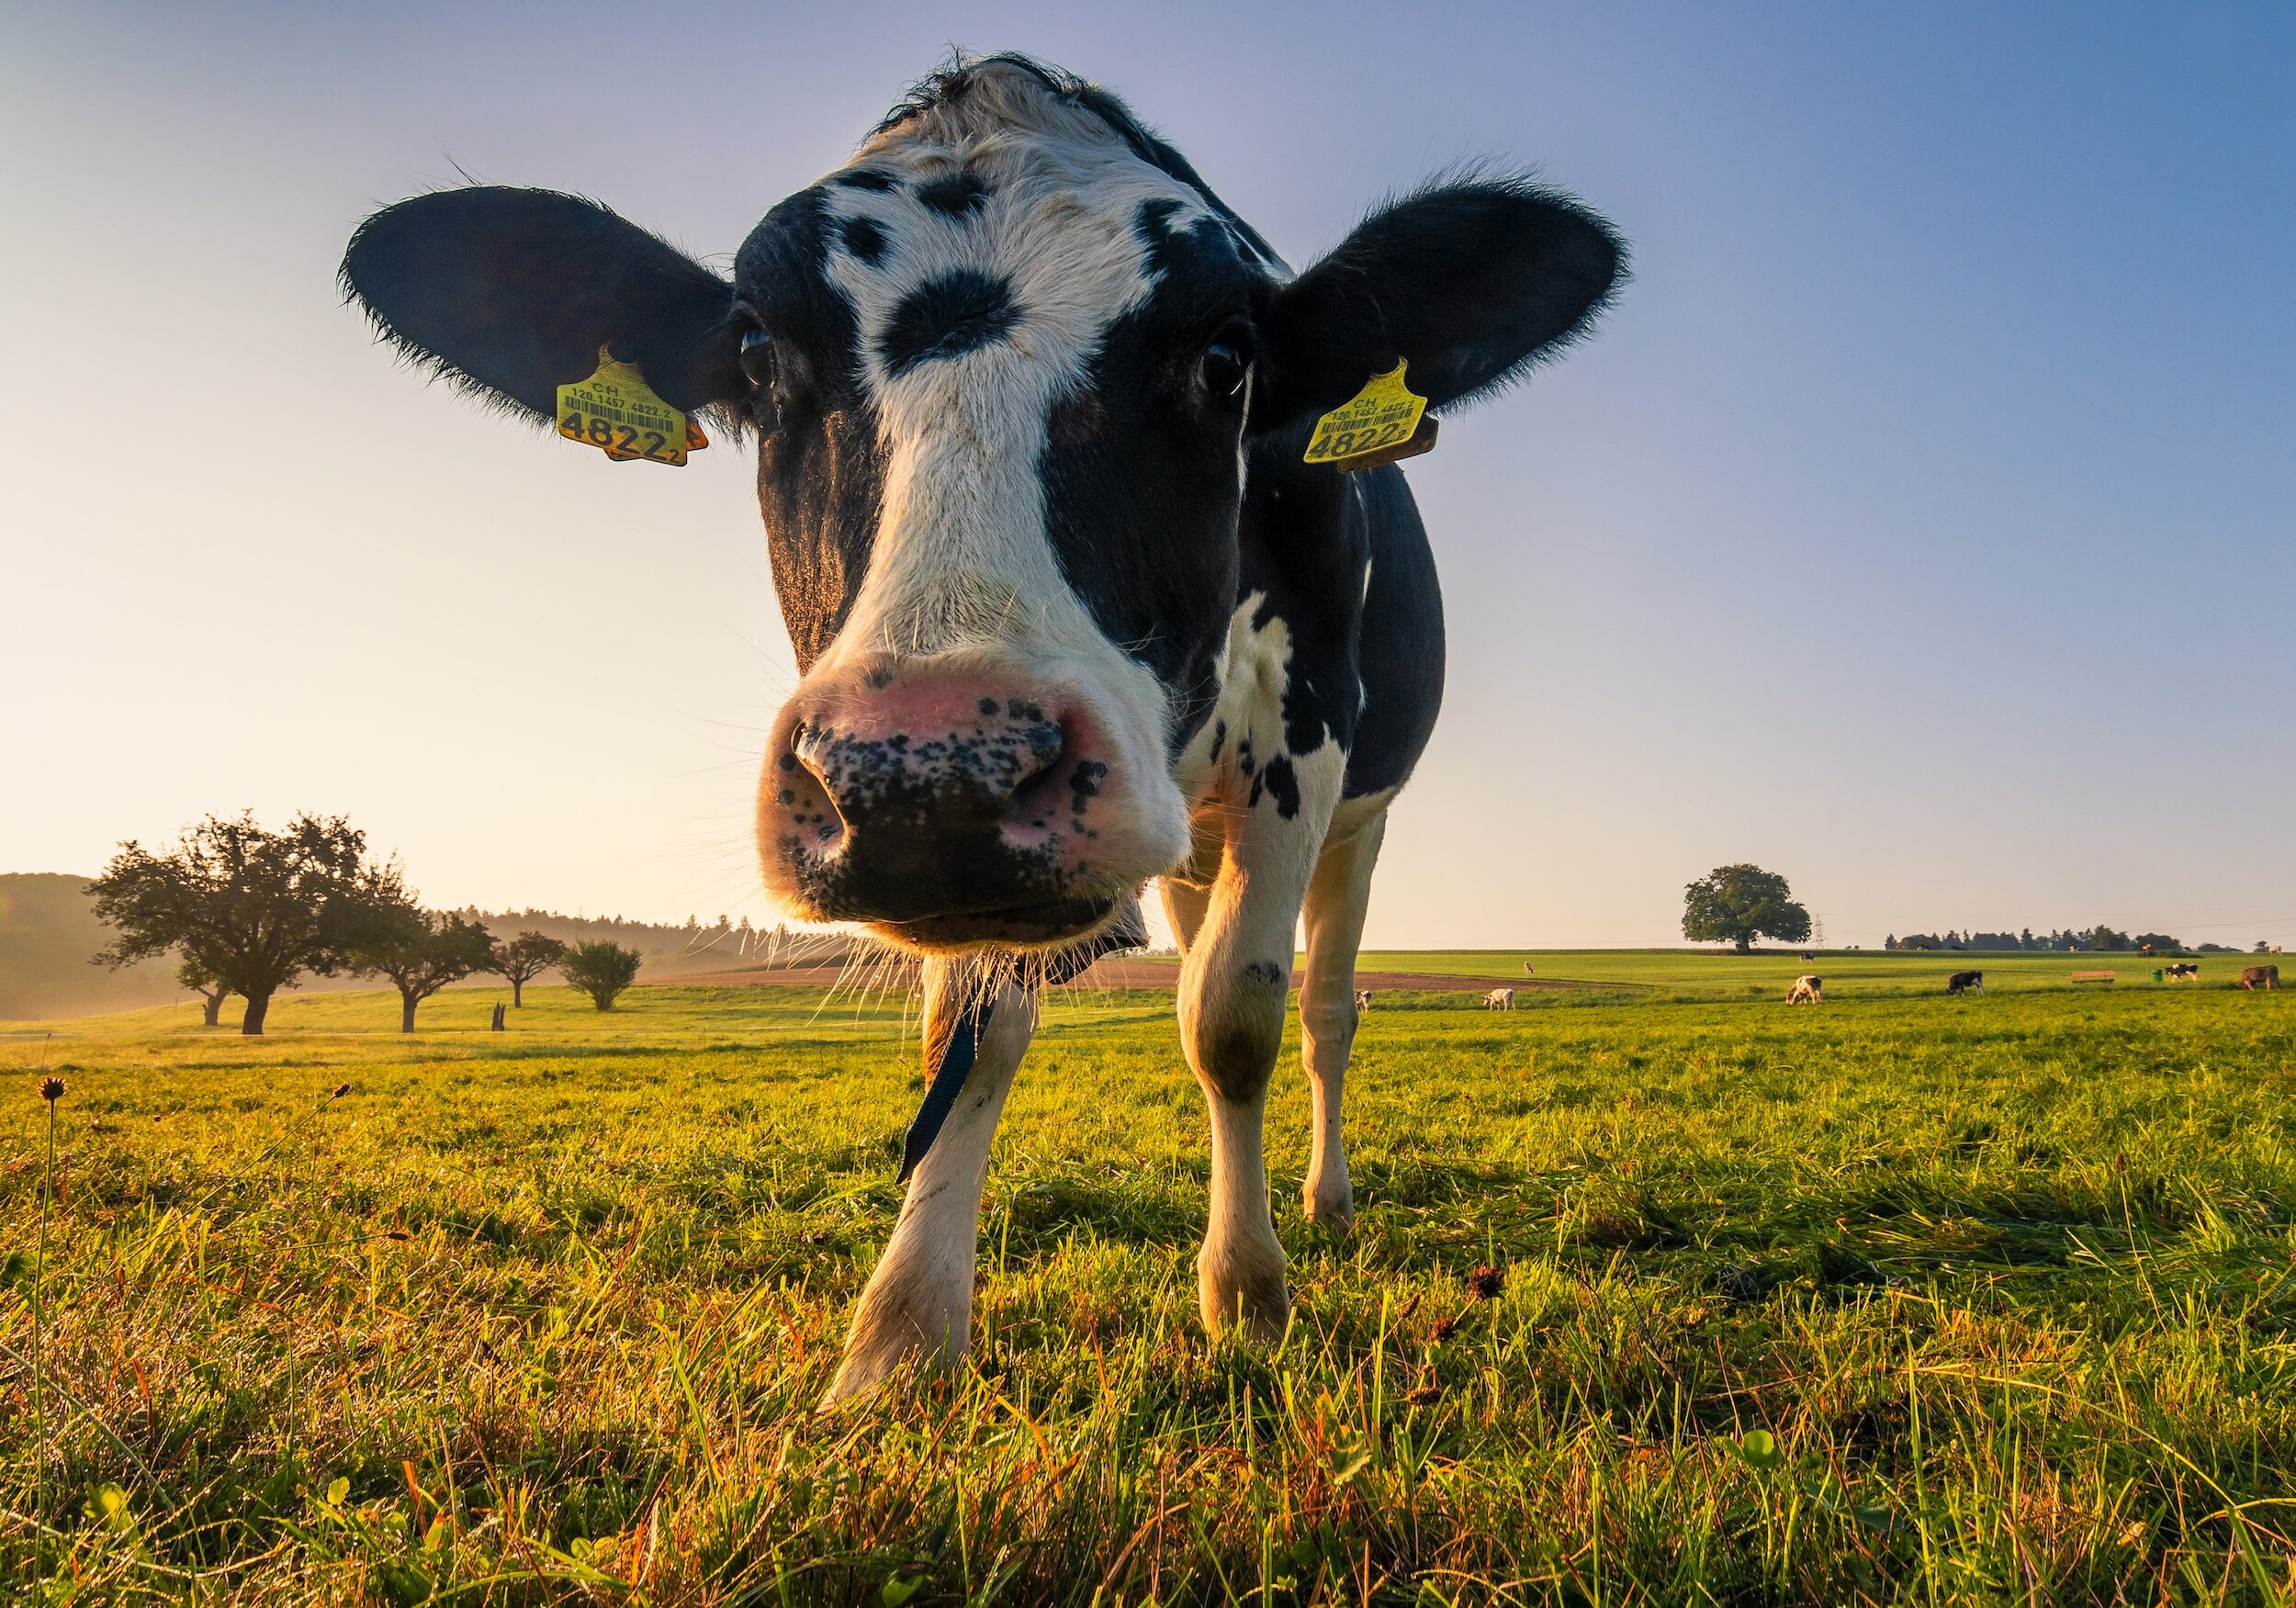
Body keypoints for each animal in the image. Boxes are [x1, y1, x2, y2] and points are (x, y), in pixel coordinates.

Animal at [339, 53, 1621, 1403]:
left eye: (1227, 360)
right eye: (756, 352)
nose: (929, 769)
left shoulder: (1304, 737)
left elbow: (1236, 1017)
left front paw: (1246, 1295)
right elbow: (973, 1032)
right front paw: (902, 1333)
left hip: (1359, 818)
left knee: (1324, 1011)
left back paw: (1324, 1197)